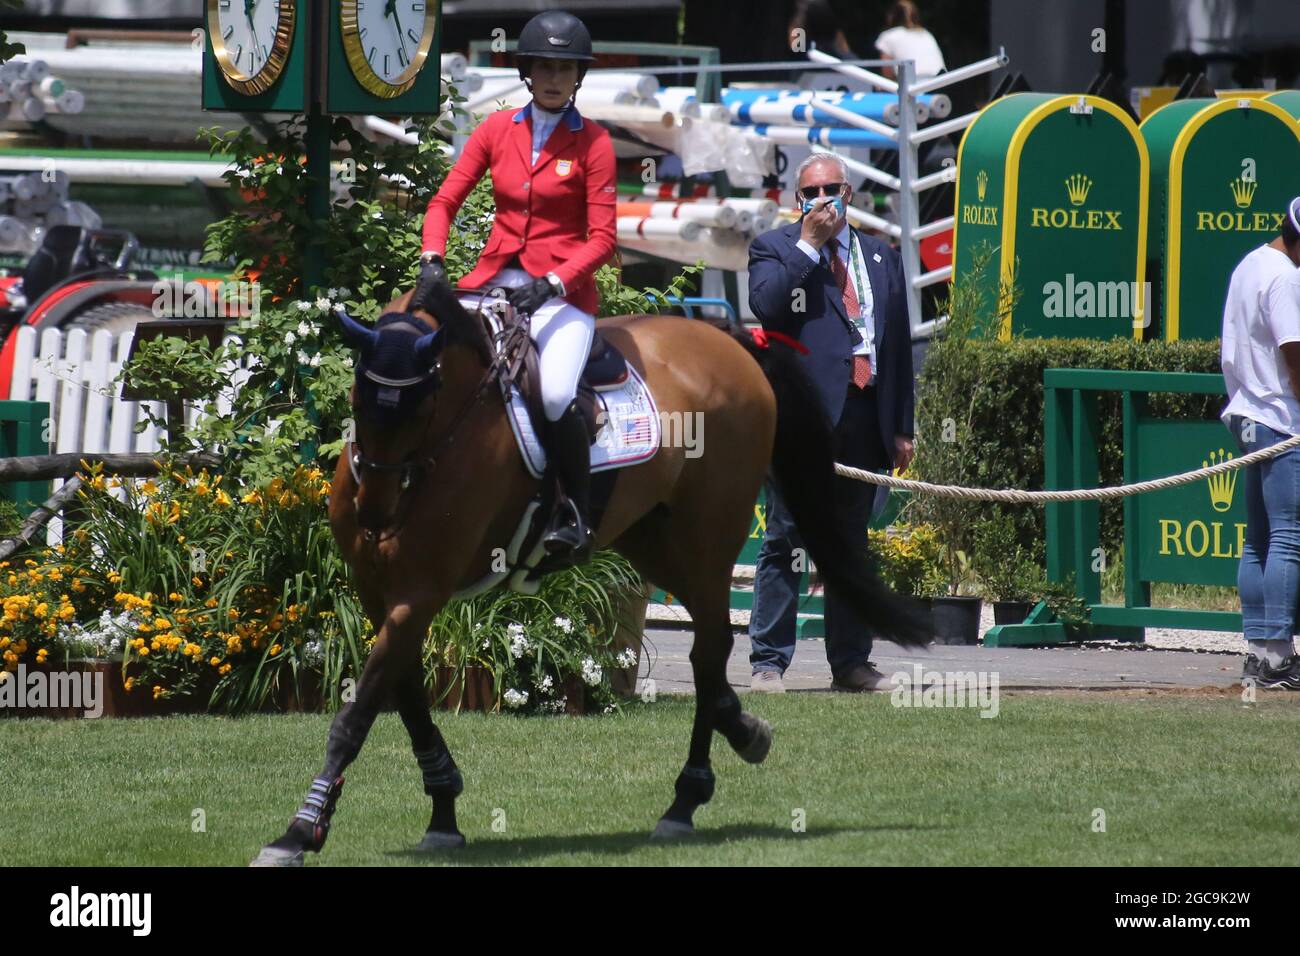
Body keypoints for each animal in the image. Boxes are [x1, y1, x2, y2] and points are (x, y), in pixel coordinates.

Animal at [250, 278, 925, 868]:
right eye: (359, 402)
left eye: (421, 410)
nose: (375, 519)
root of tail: (731, 342)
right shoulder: (380, 593)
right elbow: (407, 694)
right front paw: (442, 810)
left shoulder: (419, 591)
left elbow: (358, 710)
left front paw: (298, 832)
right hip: (650, 540)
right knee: (710, 655)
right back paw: (742, 731)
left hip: (708, 540)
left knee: (709, 648)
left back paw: (686, 798)